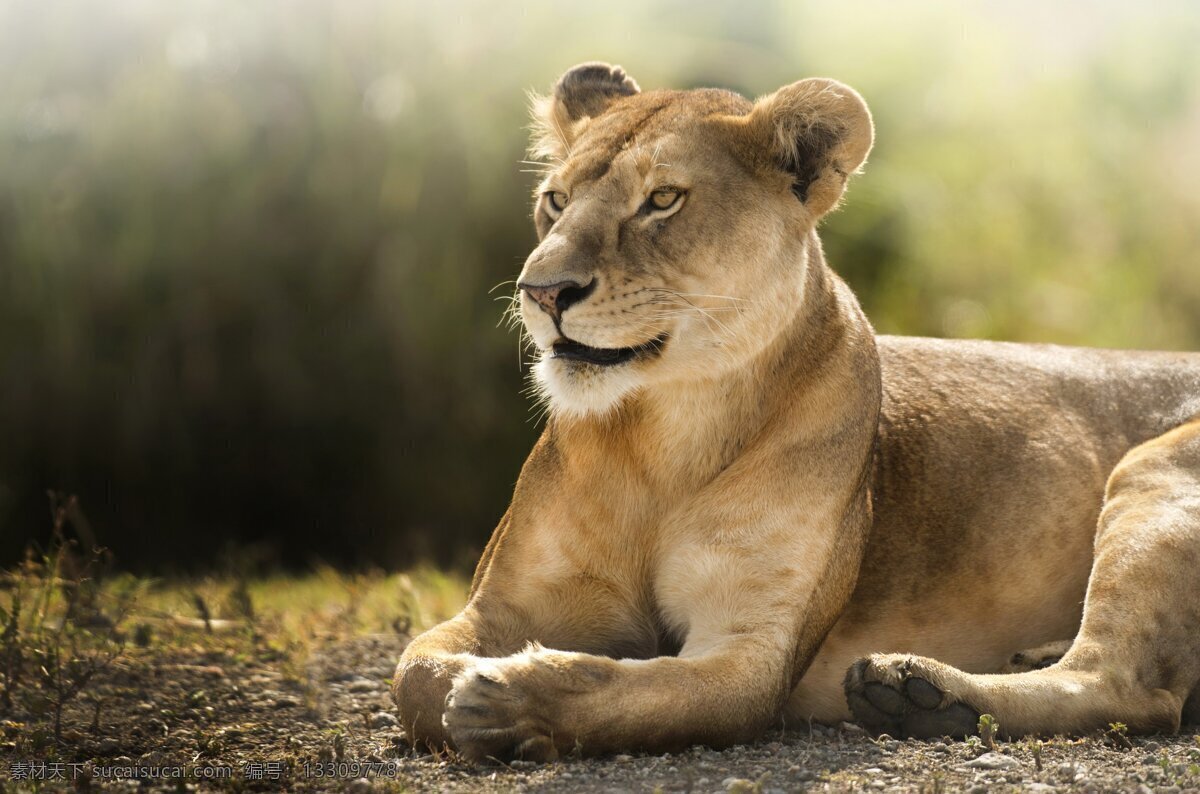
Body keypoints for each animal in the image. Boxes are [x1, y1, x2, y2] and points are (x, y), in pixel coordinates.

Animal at [391, 63, 1200, 761]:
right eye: (555, 200)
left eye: (663, 200)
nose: (541, 291)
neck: (664, 434)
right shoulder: (501, 608)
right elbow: (412, 675)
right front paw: (473, 689)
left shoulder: (753, 654)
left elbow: (632, 690)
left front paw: (508, 702)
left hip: (1153, 468)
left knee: (1126, 688)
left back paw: (918, 693)